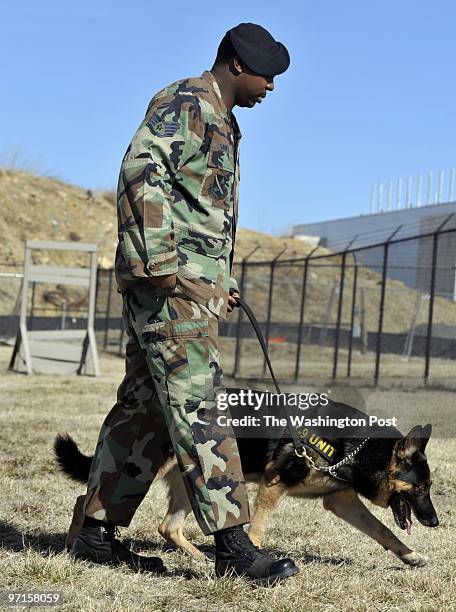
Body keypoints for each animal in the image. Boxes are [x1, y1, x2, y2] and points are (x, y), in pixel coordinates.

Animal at [53, 394, 438, 568]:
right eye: (421, 488)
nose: (435, 522)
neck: (357, 446)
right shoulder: (273, 484)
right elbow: (258, 528)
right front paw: (254, 559)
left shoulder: (340, 500)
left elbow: (382, 531)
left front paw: (410, 556)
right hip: (151, 470)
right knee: (87, 499)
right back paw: (74, 546)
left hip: (192, 479)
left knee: (168, 526)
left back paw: (203, 558)